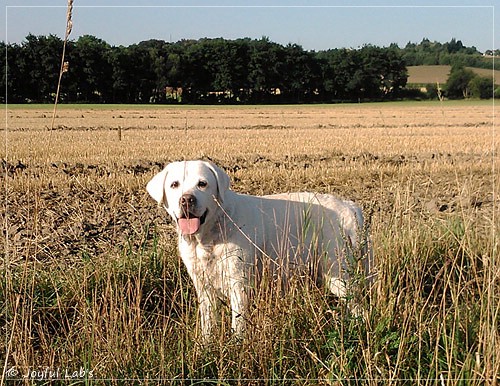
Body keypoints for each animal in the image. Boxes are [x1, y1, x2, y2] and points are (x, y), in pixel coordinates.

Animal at [146, 160, 372, 338]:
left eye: (202, 184)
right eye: (174, 184)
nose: (186, 199)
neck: (209, 235)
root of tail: (350, 206)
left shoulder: (239, 284)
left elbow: (238, 323)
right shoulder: (204, 288)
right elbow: (208, 324)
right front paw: (205, 347)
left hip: (339, 274)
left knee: (359, 307)